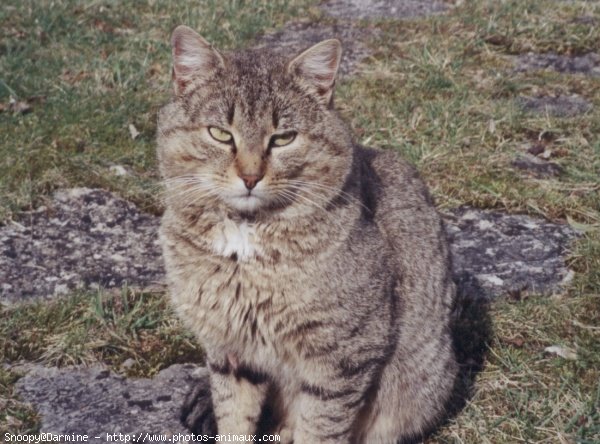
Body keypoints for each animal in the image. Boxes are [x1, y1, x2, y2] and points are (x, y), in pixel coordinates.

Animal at [157, 25, 458, 444]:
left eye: (283, 138)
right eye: (220, 134)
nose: (250, 176)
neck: (245, 240)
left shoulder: (343, 355)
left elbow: (319, 425)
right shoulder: (232, 349)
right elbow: (233, 415)